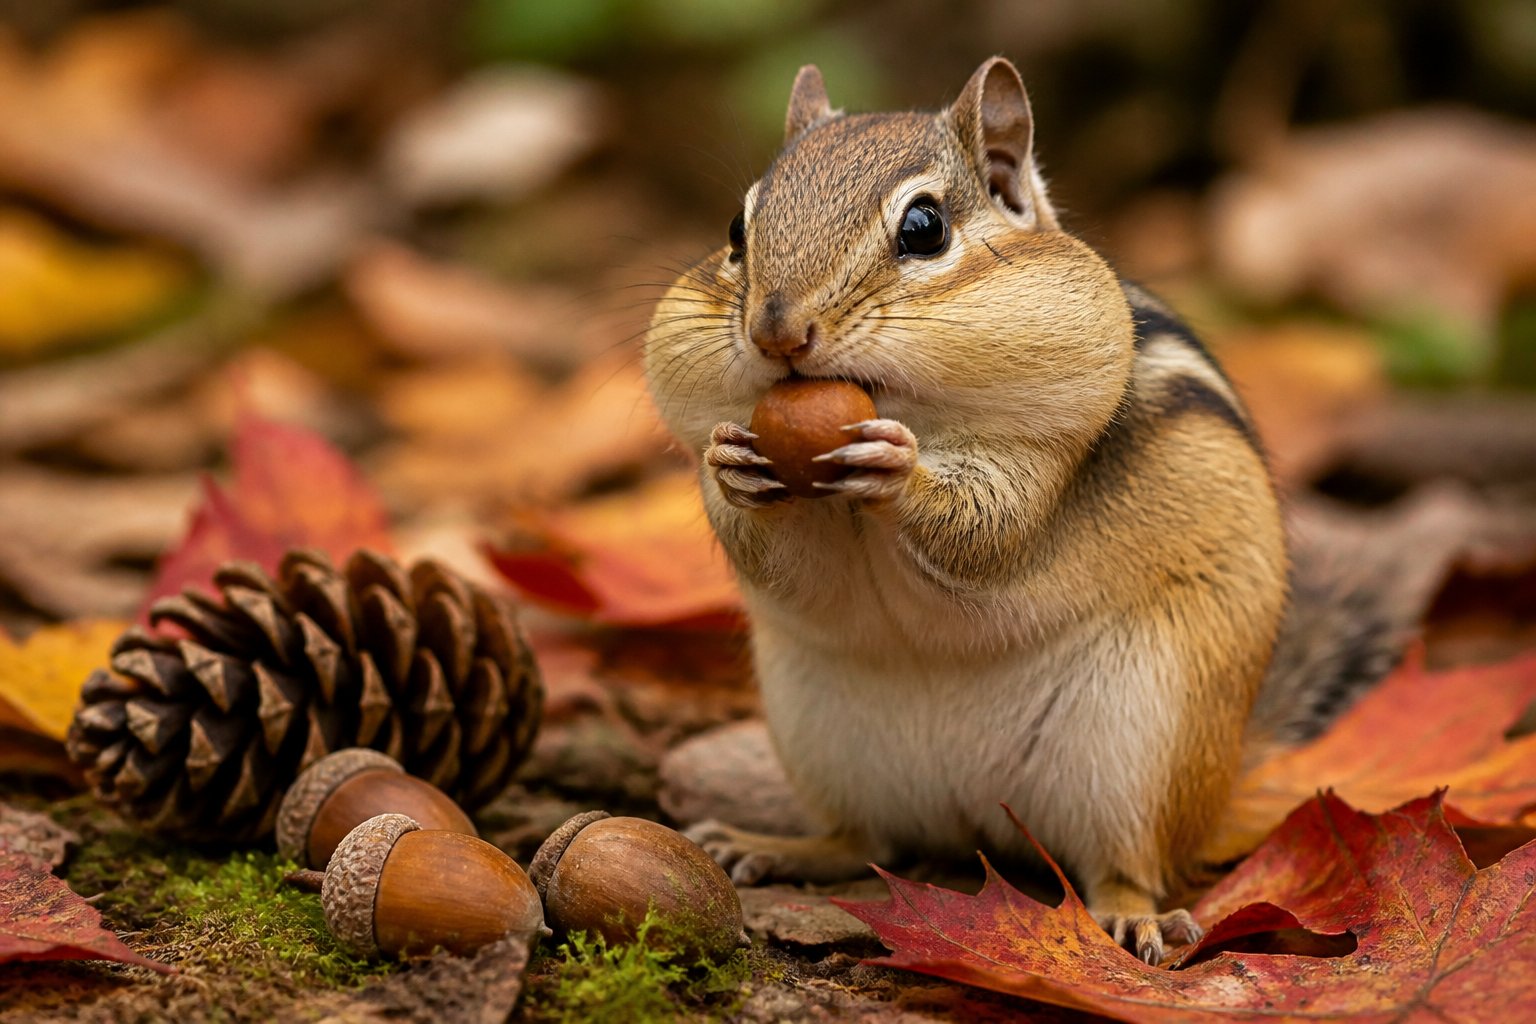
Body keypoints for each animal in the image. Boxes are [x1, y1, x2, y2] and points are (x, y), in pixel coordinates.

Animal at [642, 58, 1397, 964]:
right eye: (735, 230)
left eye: (924, 227)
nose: (777, 332)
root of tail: (979, 822)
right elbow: (773, 555)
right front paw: (731, 466)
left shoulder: (1043, 460)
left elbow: (986, 535)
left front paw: (899, 471)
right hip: (819, 733)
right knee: (866, 840)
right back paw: (770, 845)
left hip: (1142, 745)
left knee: (1126, 864)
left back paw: (1135, 915)